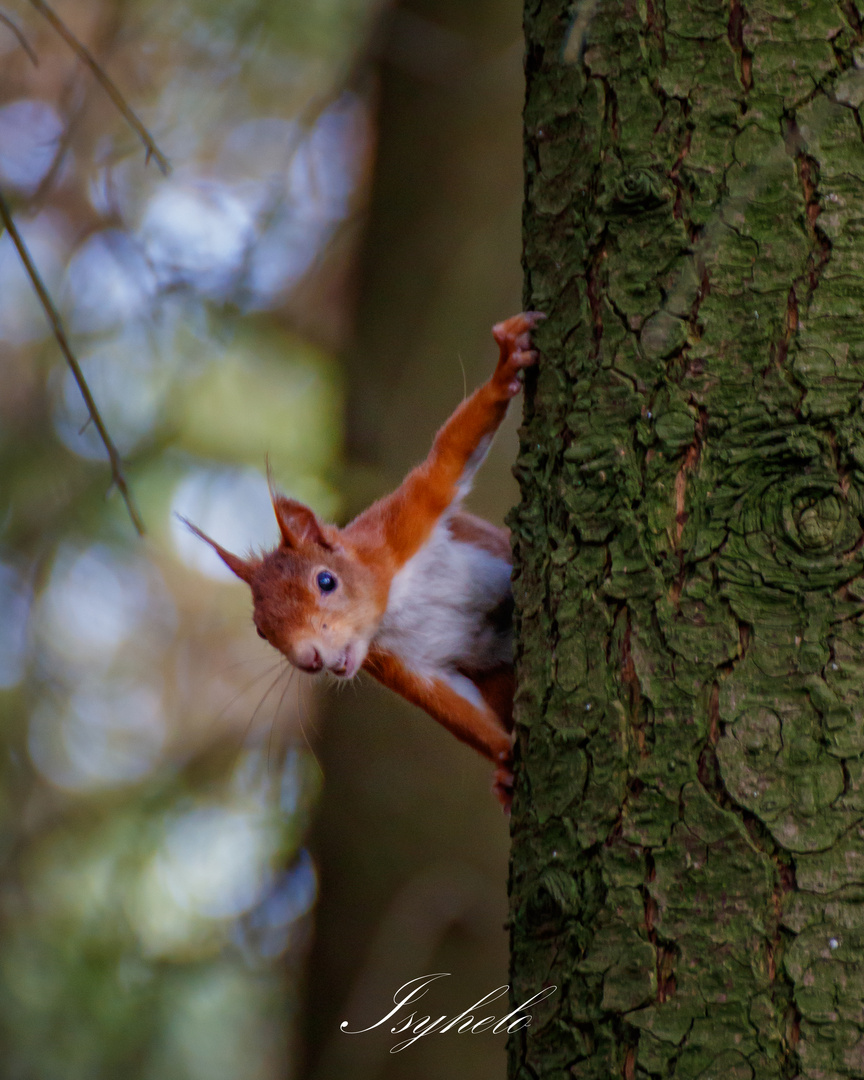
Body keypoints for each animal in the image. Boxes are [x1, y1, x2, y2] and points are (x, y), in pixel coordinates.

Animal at [185, 308, 544, 807]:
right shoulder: (400, 665)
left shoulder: (402, 524)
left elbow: (450, 455)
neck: (394, 605)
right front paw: (504, 760)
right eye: (261, 630)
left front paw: (506, 364)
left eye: (326, 581)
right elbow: (455, 711)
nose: (309, 657)